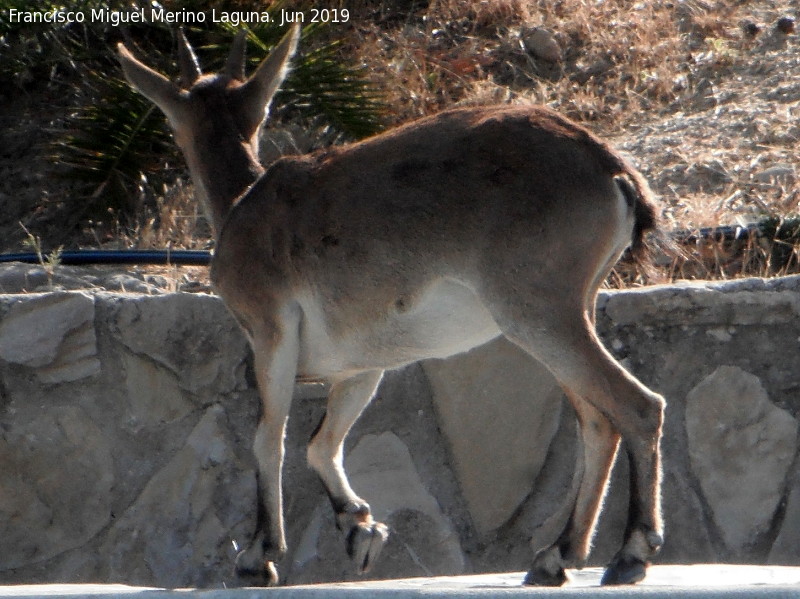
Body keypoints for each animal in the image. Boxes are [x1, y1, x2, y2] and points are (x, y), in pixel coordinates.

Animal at [119, 25, 664, 588]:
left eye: (172, 125)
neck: (244, 206)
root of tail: (614, 173)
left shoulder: (270, 331)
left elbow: (269, 437)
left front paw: (259, 555)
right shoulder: (362, 367)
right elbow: (323, 441)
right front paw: (359, 527)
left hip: (538, 312)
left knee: (638, 406)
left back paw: (630, 552)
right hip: (570, 311)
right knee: (596, 420)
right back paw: (557, 555)